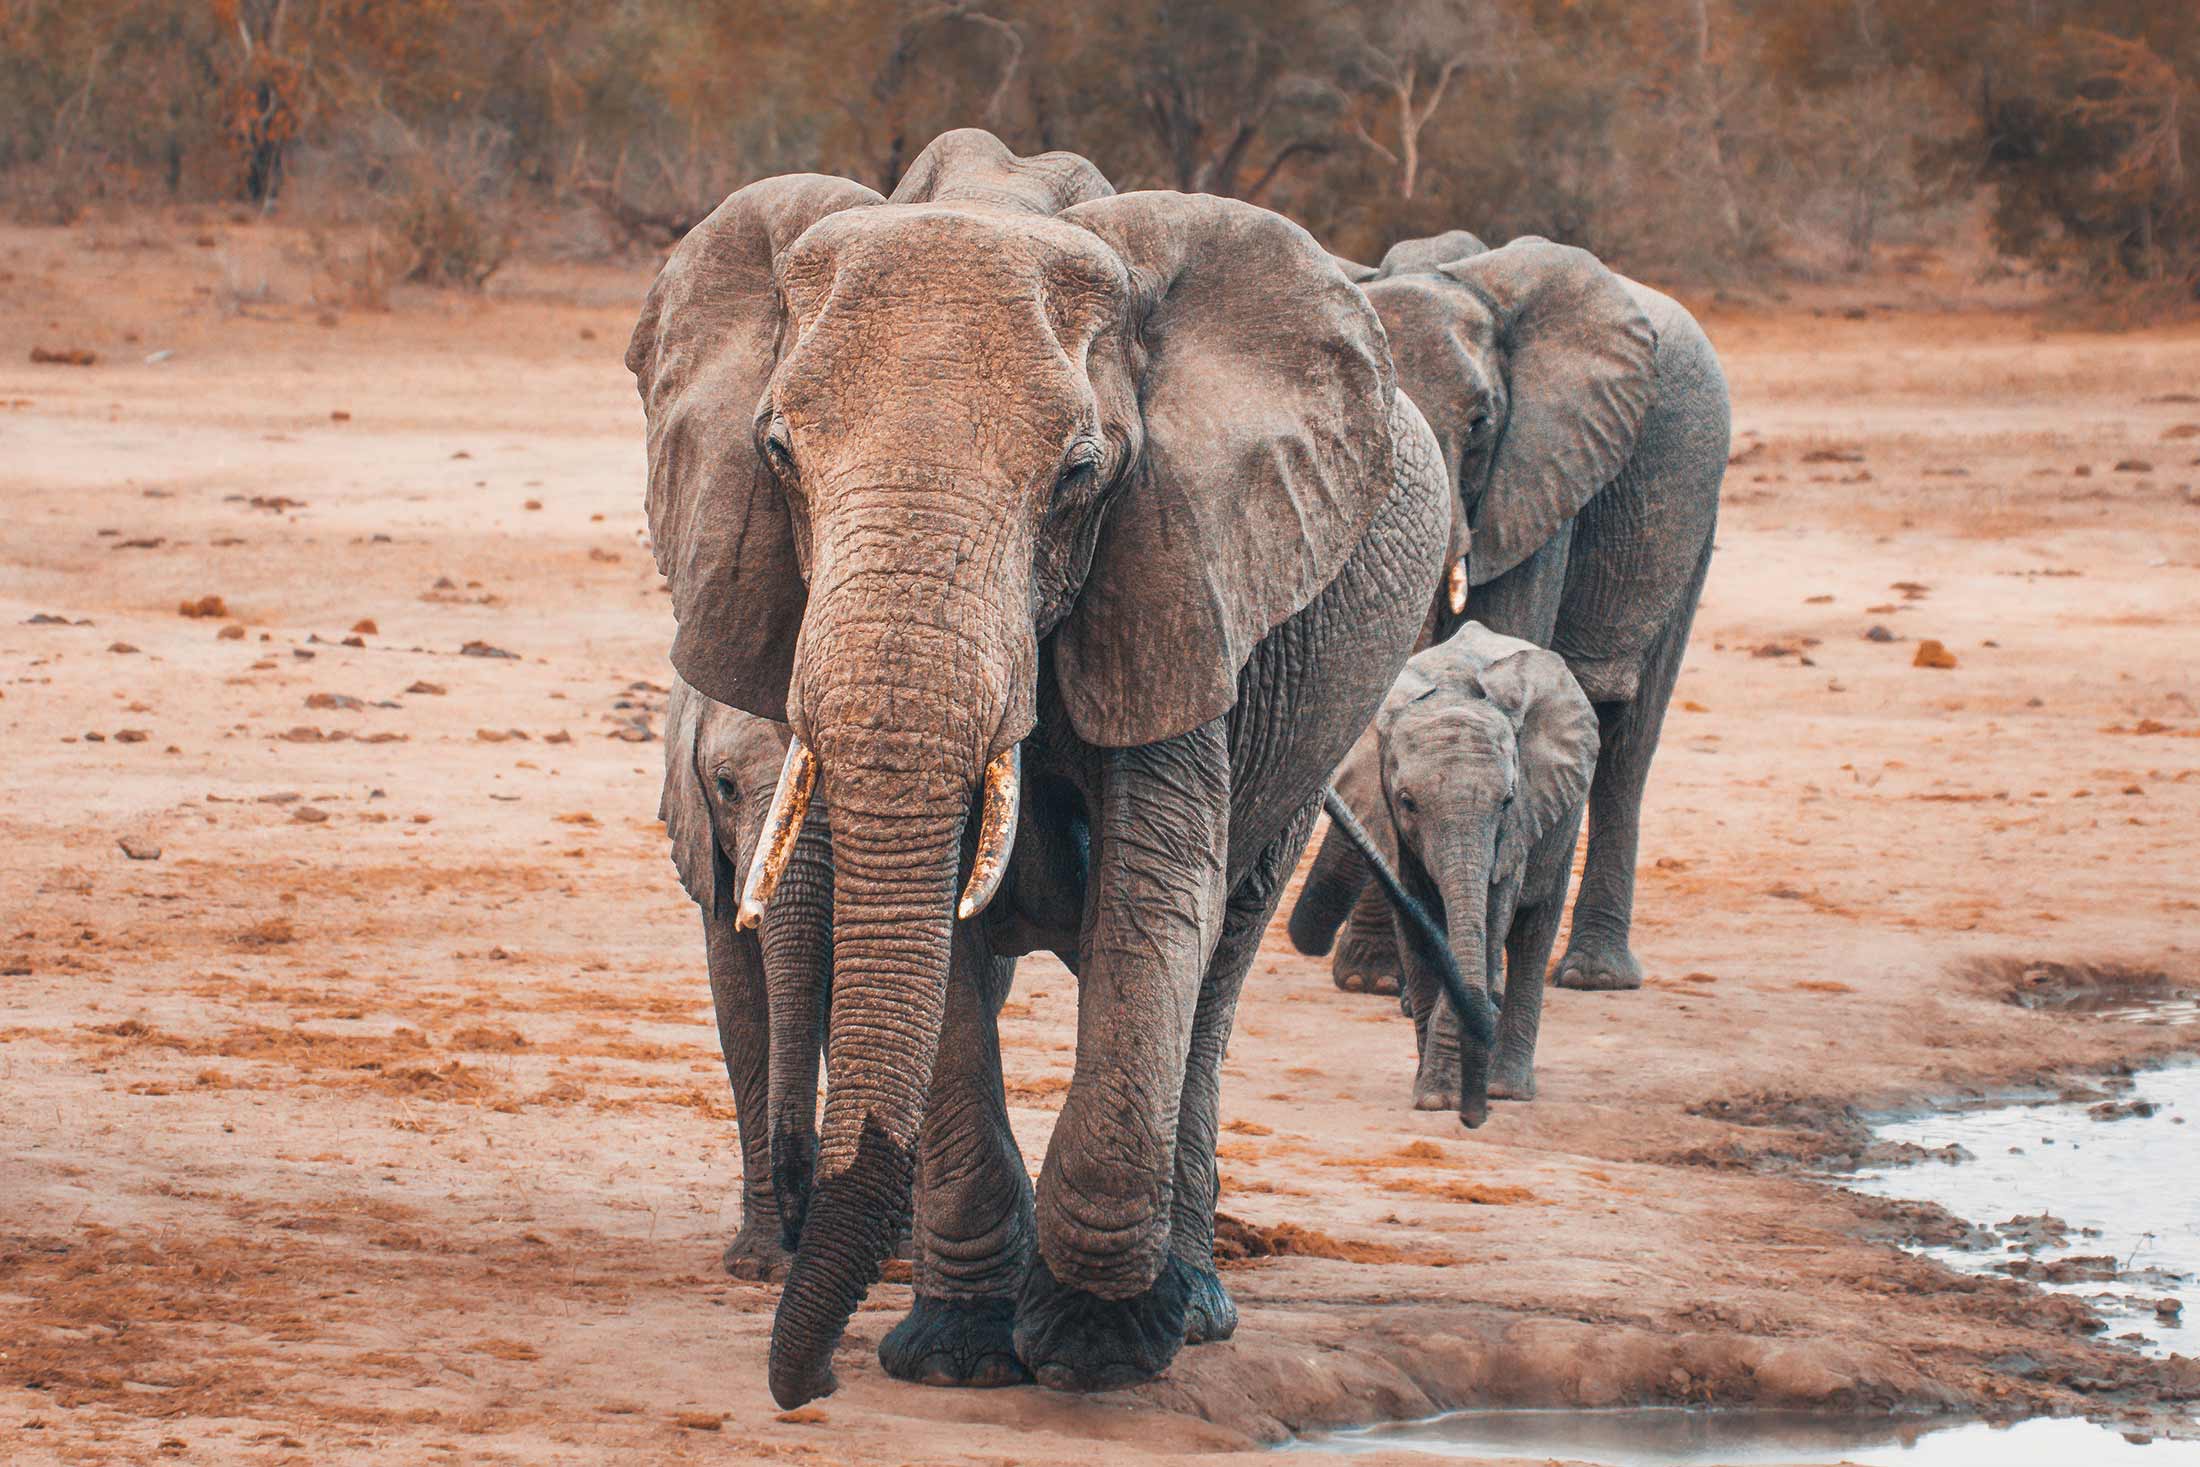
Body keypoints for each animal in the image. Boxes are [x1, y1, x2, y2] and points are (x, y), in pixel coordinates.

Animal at [1289, 624, 1598, 1115]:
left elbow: (1490, 917)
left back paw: (1507, 1088)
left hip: (1561, 817)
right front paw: (1432, 1092)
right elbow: (1421, 931)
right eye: (1407, 802)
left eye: (1508, 800)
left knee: (1534, 931)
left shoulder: (1517, 824)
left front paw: (1444, 1096)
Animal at [1317, 229, 1730, 997]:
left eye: (1480, 423)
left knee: (1628, 743)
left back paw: (1595, 975)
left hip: (1695, 518)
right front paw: (1373, 980)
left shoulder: (1545, 466)